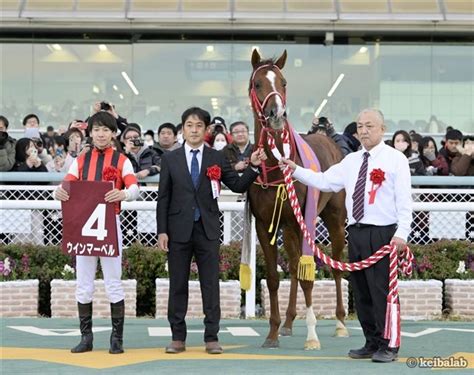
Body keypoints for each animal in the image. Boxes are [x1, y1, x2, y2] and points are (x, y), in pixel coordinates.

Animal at [248, 50, 348, 350]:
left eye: (283, 82)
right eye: (258, 83)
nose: (276, 115)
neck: (275, 168)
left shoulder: (302, 221)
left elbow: (307, 277)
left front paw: (312, 336)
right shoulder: (265, 224)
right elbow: (273, 277)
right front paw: (272, 333)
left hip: (334, 219)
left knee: (336, 265)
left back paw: (340, 323)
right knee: (292, 266)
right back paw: (289, 322)